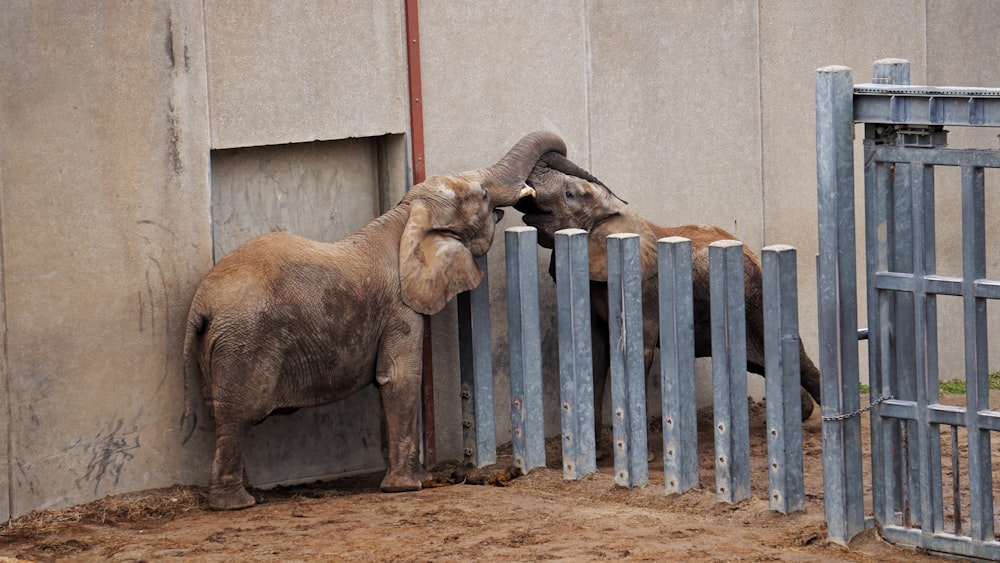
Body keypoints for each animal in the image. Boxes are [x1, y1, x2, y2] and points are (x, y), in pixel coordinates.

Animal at [183, 131, 568, 512]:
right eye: (484, 195)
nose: (535, 195)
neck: (405, 216)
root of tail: (201, 305)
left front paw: (415, 479)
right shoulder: (399, 308)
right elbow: (400, 377)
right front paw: (408, 487)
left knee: (222, 414)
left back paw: (251, 496)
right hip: (244, 343)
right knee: (237, 416)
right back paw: (236, 504)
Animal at [516, 151, 820, 450]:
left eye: (569, 194)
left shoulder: (641, 291)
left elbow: (638, 350)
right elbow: (597, 351)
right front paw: (599, 453)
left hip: (756, 302)